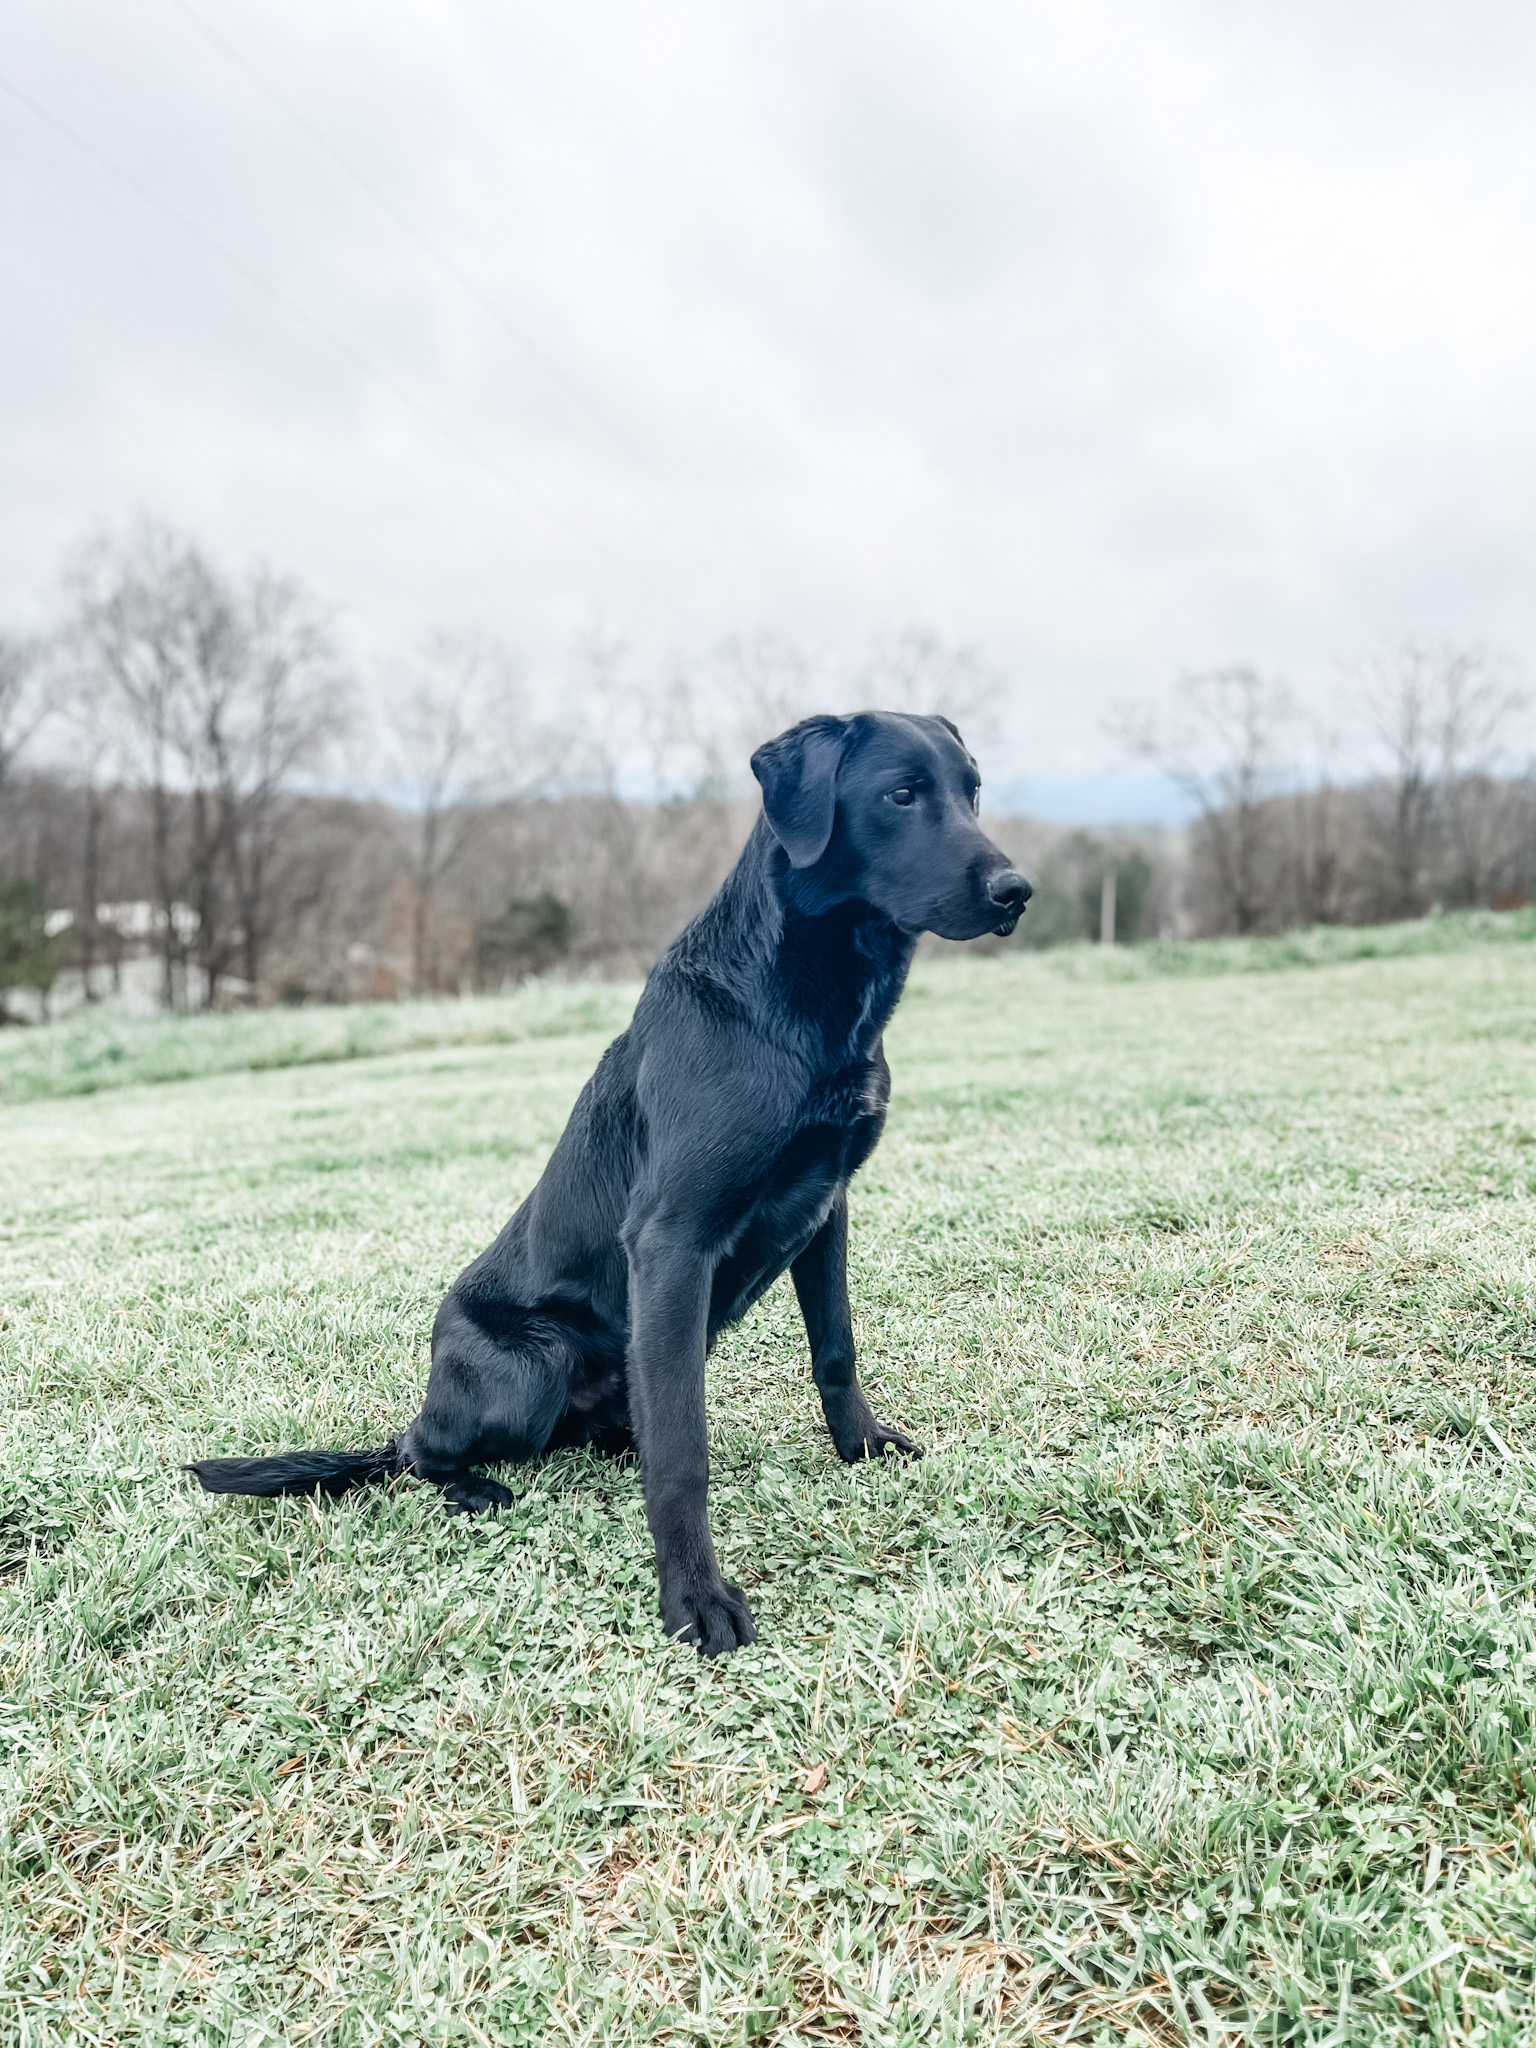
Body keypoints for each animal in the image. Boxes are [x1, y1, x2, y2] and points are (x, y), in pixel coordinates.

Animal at [195, 712, 1036, 1654]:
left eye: (972, 792)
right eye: (900, 794)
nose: (1017, 891)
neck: (795, 1006)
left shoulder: (826, 1211)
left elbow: (837, 1351)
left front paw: (860, 1449)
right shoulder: (672, 1241)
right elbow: (684, 1451)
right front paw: (695, 1595)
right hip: (530, 1367)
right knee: (420, 1453)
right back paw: (471, 1486)